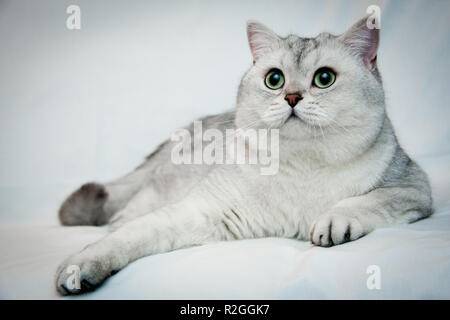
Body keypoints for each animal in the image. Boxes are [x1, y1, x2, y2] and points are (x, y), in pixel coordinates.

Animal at [54, 15, 430, 296]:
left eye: (324, 78)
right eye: (274, 79)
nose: (292, 97)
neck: (303, 165)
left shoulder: (413, 188)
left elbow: (367, 200)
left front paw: (334, 222)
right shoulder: (200, 209)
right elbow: (130, 236)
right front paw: (81, 266)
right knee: (122, 218)